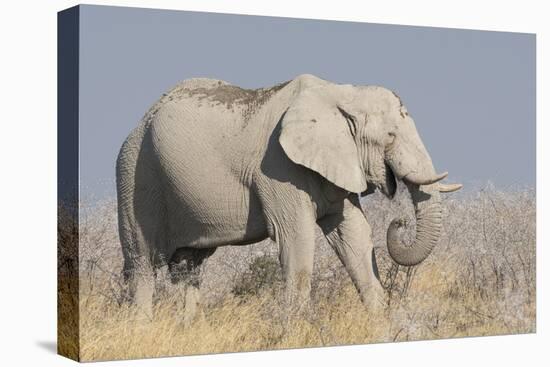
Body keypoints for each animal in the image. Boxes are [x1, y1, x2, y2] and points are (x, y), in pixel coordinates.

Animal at [115, 74, 462, 322]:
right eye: (390, 137)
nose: (399, 223)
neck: (341, 94)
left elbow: (354, 235)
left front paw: (380, 327)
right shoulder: (278, 167)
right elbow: (296, 238)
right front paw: (295, 332)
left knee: (188, 267)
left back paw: (188, 328)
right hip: (135, 174)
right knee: (142, 263)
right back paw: (142, 329)